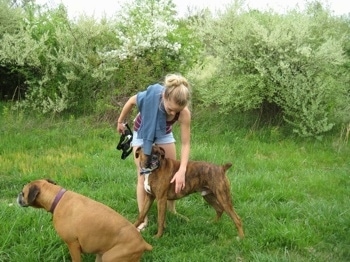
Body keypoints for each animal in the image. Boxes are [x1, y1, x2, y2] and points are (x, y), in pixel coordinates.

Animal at [17, 179, 152, 262]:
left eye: (23, 193)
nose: (18, 196)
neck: (56, 198)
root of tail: (143, 243)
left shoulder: (72, 244)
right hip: (102, 255)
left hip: (110, 257)